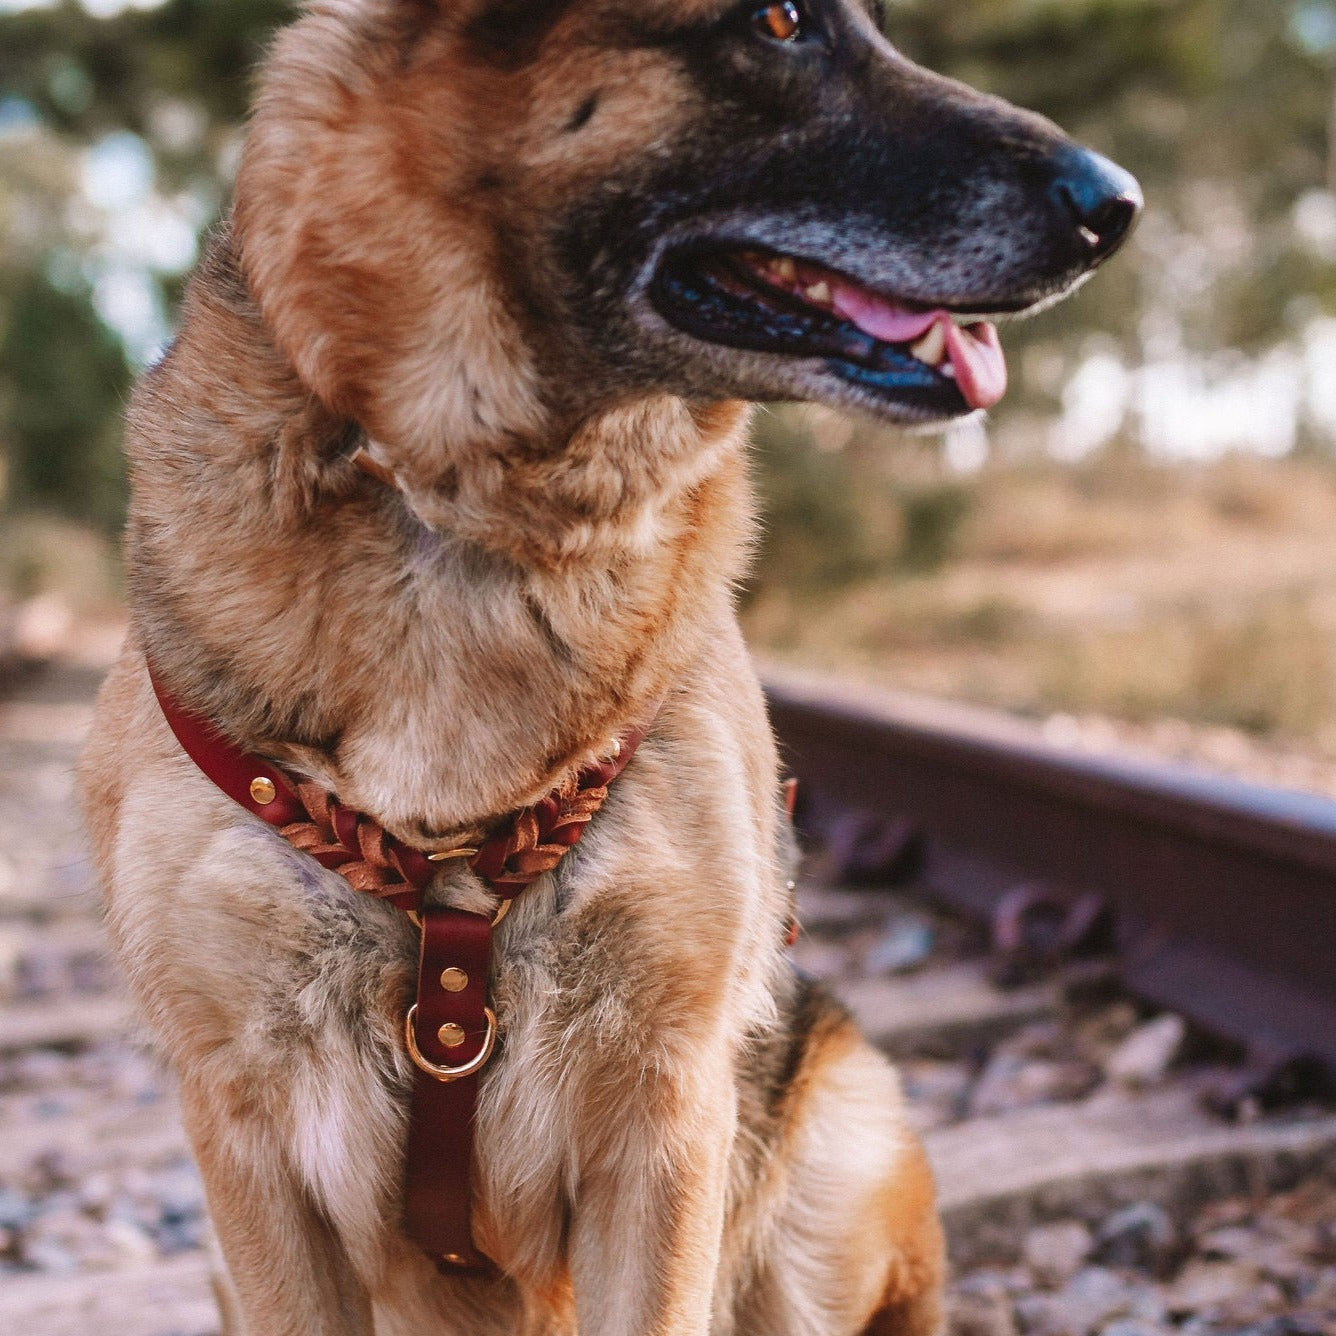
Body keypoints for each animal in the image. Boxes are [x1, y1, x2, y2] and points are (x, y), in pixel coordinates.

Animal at [78, 0, 1138, 1330]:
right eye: (781, 20)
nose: (1119, 204)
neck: (469, 520)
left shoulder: (665, 1119)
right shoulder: (254, 1158)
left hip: (825, 1143)